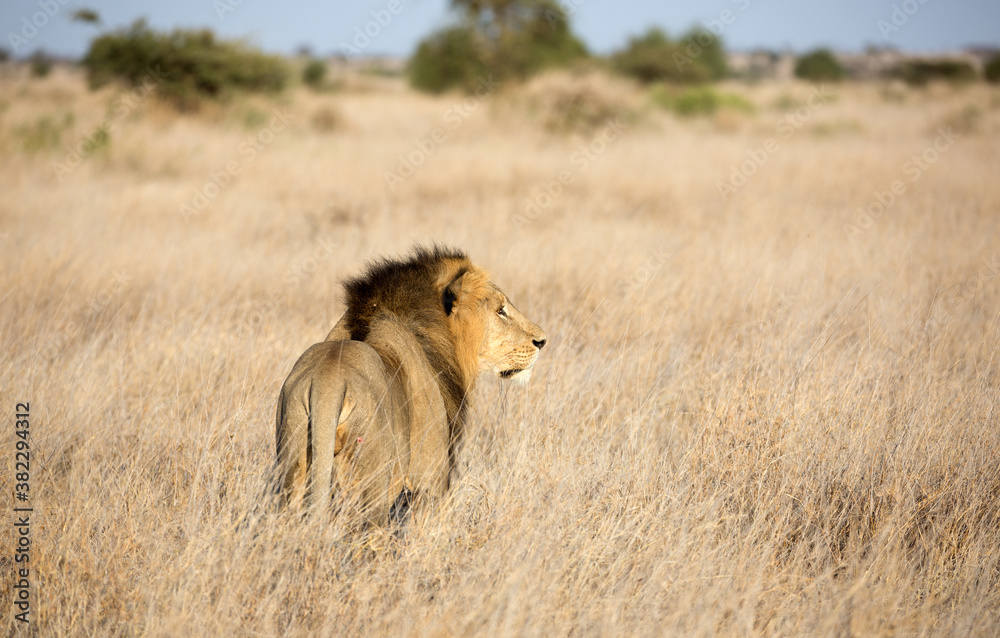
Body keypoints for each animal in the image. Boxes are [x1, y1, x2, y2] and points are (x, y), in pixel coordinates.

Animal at [273, 246, 546, 525]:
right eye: (500, 310)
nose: (542, 341)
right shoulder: (429, 479)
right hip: (371, 487)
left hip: (292, 462)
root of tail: (329, 382)